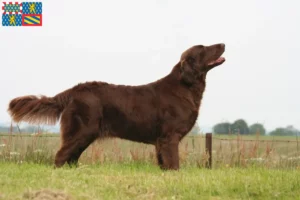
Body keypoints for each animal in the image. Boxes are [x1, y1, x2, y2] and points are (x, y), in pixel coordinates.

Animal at [7, 43, 225, 170]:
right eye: (203, 48)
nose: (222, 43)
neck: (186, 86)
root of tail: (73, 91)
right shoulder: (169, 137)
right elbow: (173, 163)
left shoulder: (160, 140)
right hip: (82, 130)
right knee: (61, 156)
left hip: (85, 134)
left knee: (71, 157)